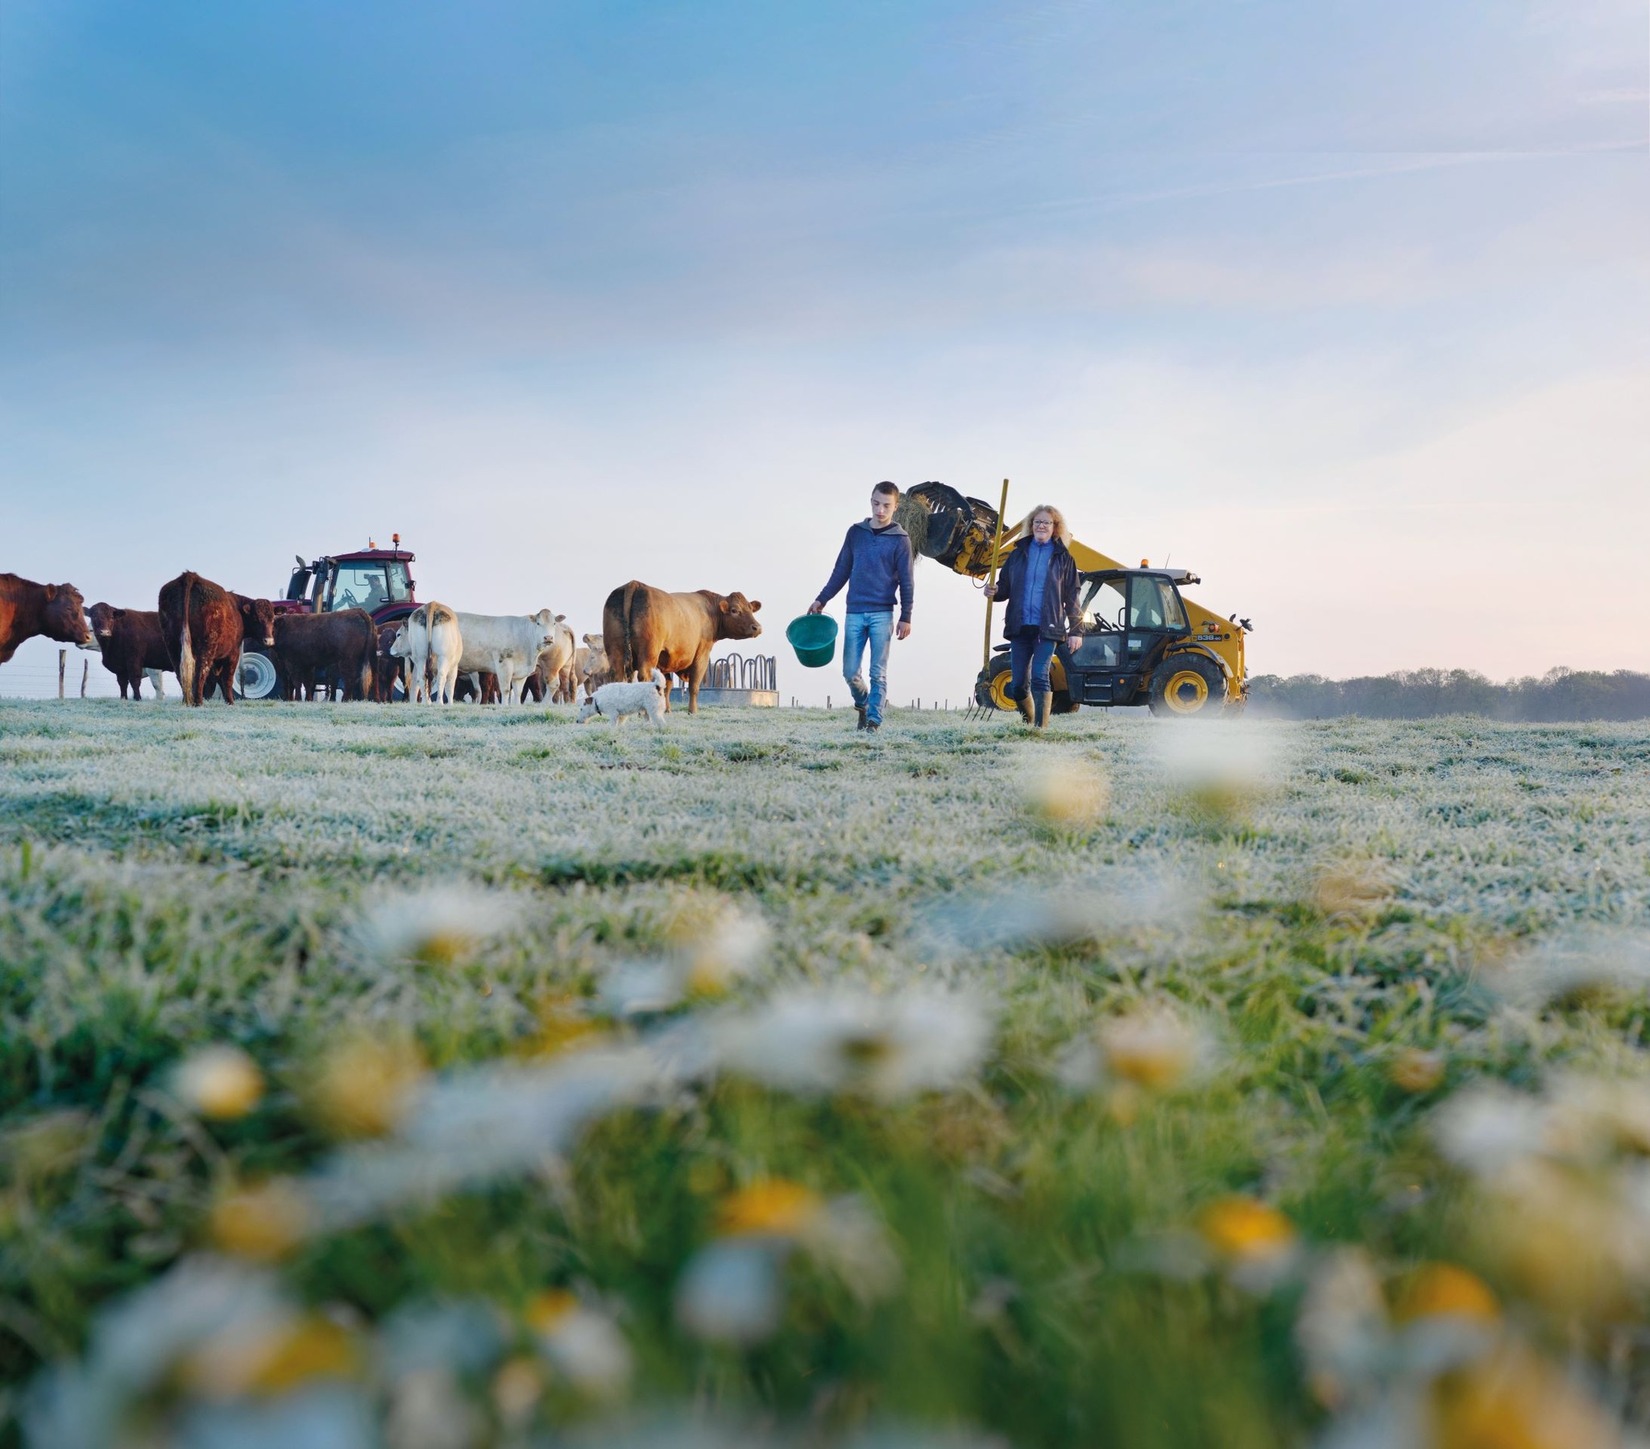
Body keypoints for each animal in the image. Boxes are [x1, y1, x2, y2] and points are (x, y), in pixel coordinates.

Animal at [157, 574, 273, 709]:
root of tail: (190, 575)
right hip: (206, 646)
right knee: (201, 672)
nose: (269, 640)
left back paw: (187, 701)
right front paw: (230, 701)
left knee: (181, 673)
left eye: (272, 618)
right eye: (256, 618)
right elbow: (226, 678)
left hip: (172, 645)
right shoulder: (232, 653)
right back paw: (198, 702)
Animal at [603, 577, 762, 716]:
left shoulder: (664, 659)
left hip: (615, 650)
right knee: (644, 676)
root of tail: (635, 584)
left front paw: (667, 710)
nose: (757, 627)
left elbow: (667, 686)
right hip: (648, 653)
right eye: (734, 610)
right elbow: (694, 685)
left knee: (617, 676)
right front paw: (692, 711)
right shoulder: (702, 654)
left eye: (750, 608)